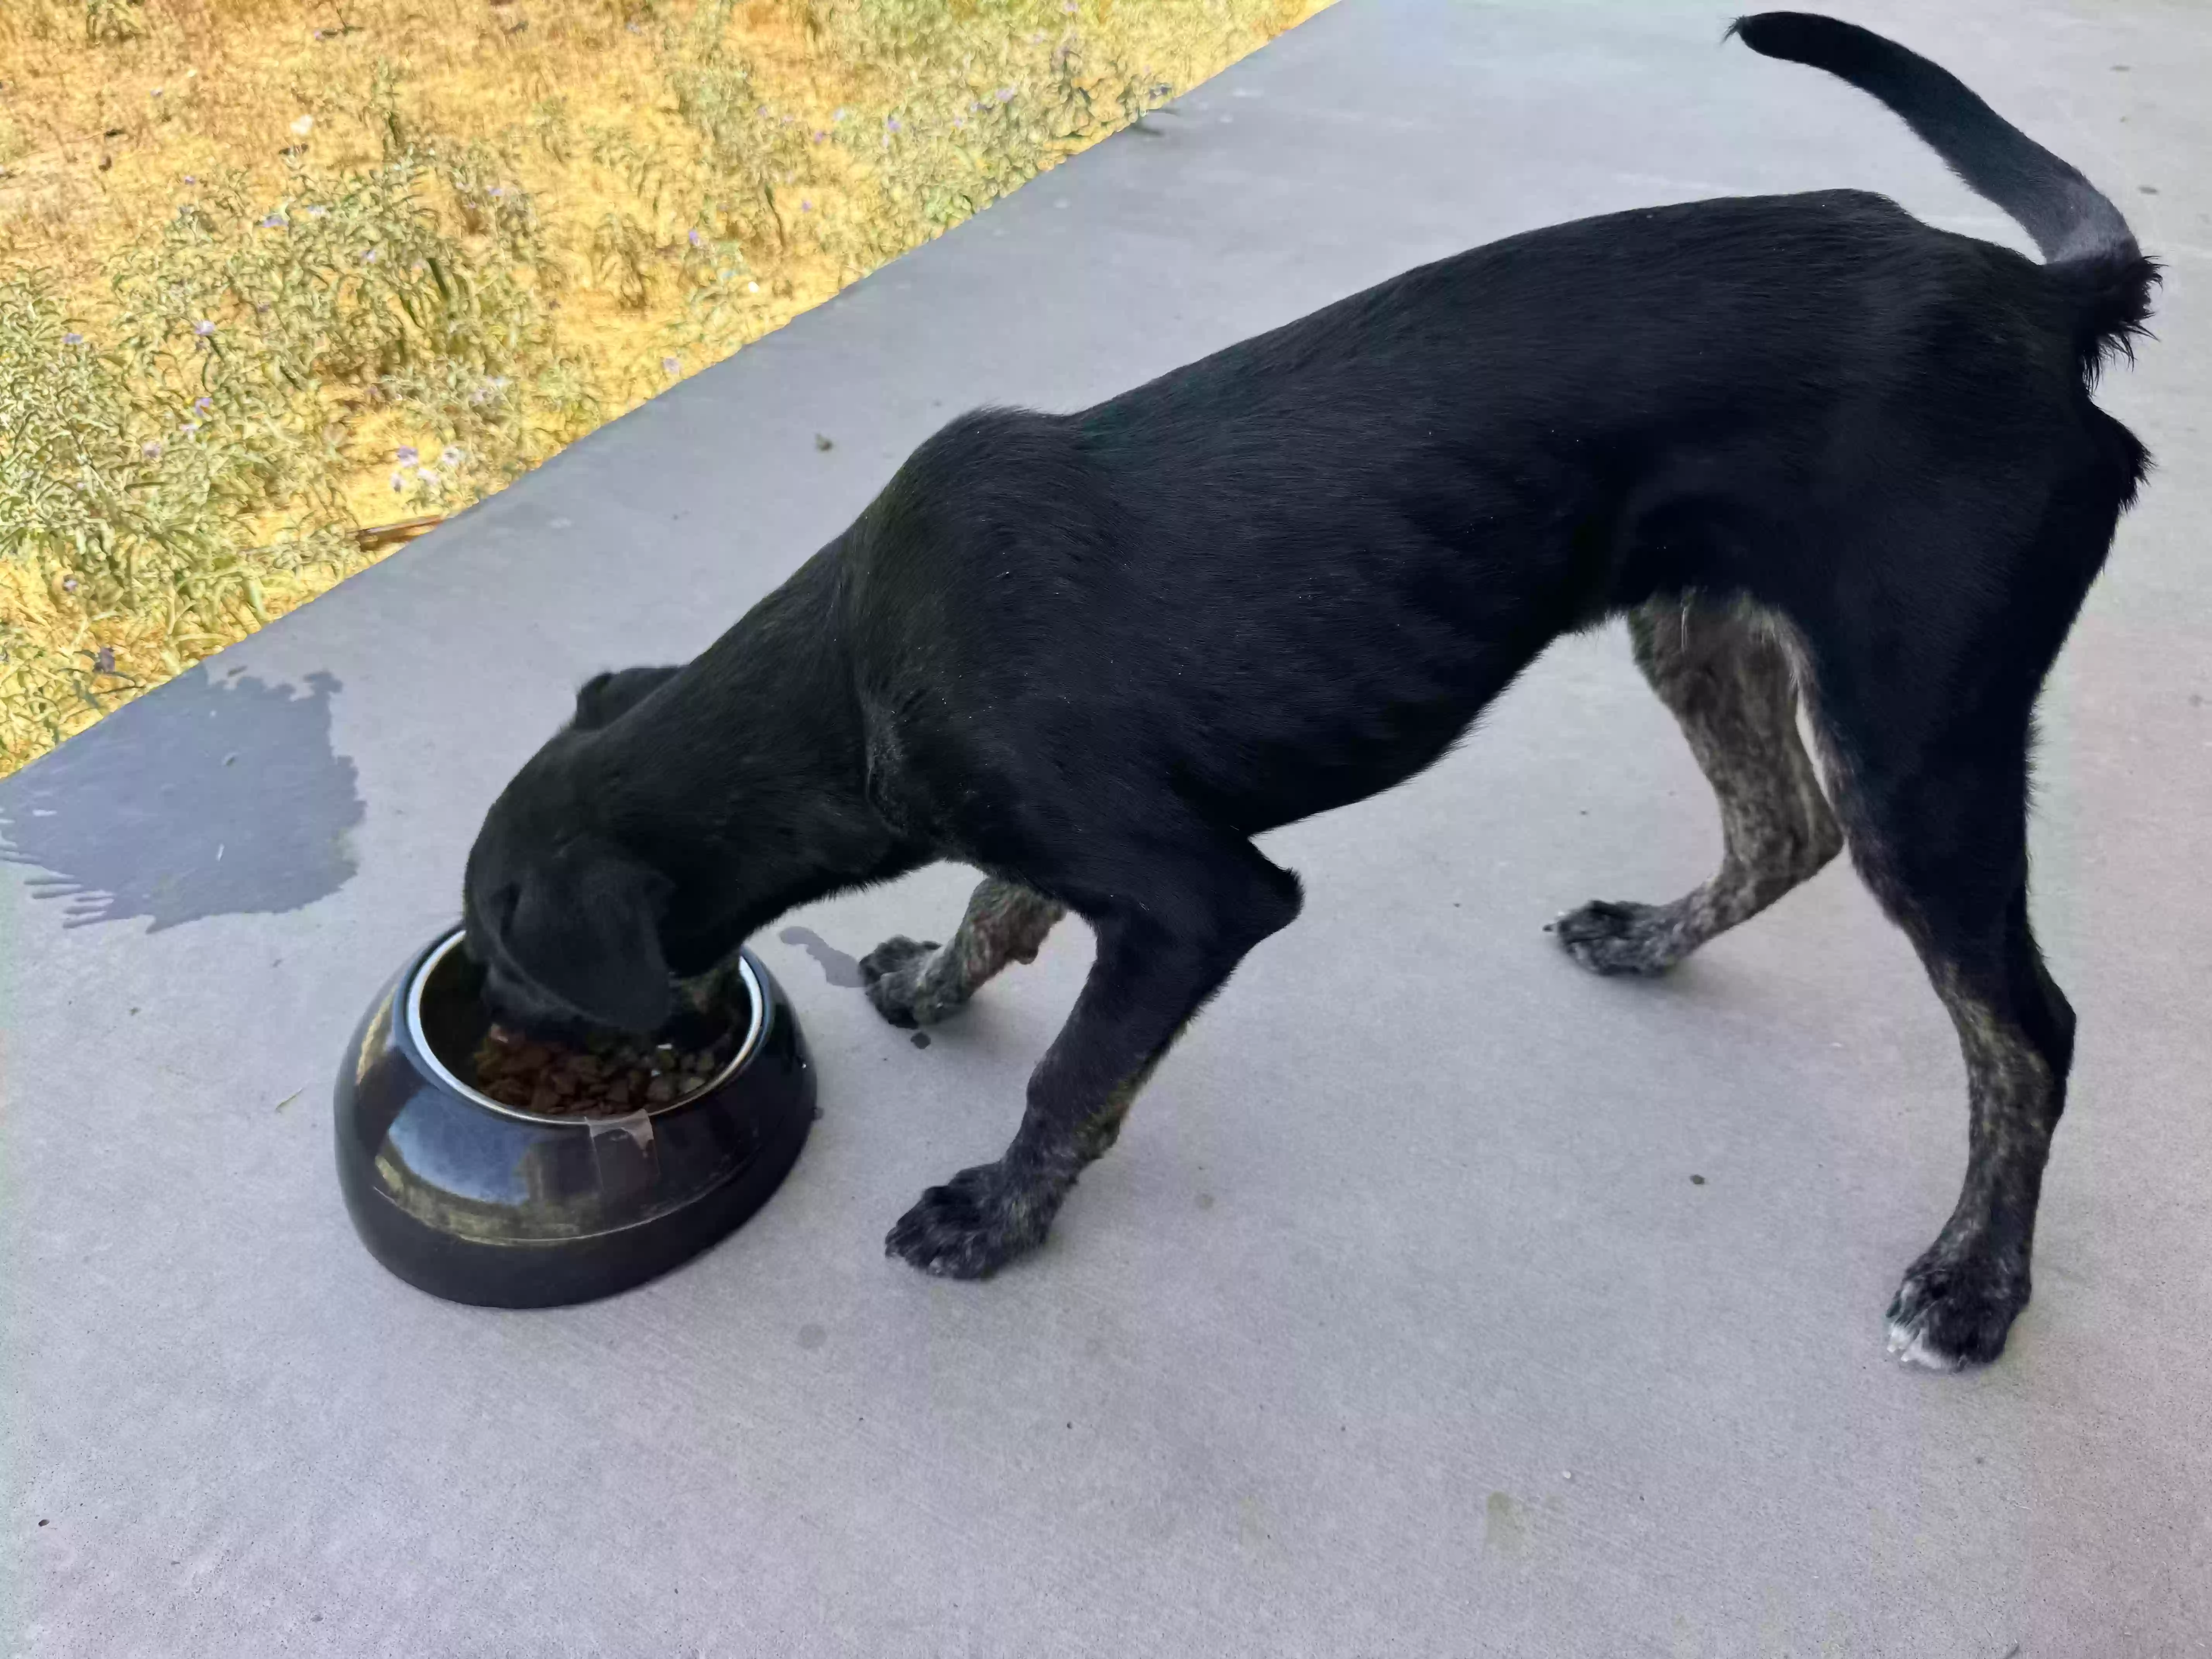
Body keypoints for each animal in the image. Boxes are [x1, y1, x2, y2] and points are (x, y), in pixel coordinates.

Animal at [458, 16, 2150, 1380]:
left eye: (517, 966)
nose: (527, 1047)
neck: (848, 667)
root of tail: (2034, 303)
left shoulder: (1196, 899)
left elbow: (1075, 1072)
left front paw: (995, 1212)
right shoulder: (1065, 839)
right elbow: (996, 913)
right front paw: (930, 988)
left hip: (1917, 728)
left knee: (2027, 1029)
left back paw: (1973, 1288)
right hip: (1700, 629)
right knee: (1777, 831)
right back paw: (1652, 941)